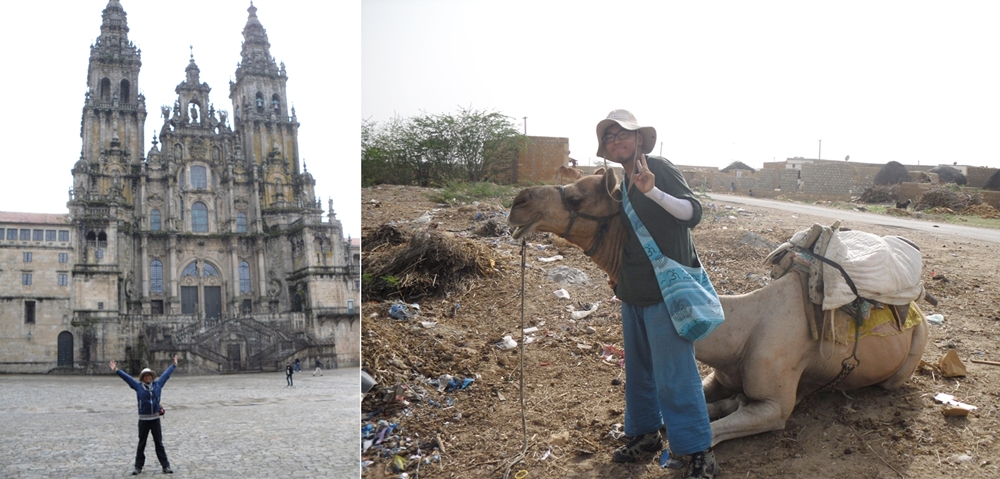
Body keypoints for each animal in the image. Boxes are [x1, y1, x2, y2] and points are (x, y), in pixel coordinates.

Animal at [508, 170, 928, 446]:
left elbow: (712, 430)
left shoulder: (775, 406)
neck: (737, 330)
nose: (517, 203)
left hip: (907, 358)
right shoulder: (719, 375)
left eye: (577, 197)